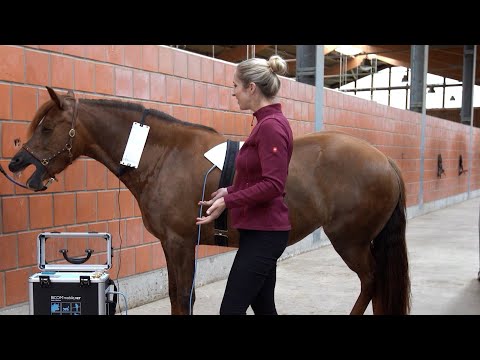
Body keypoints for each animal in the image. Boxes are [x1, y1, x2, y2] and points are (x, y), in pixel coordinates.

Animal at [7, 87, 408, 316]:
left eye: (47, 128)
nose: (16, 164)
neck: (161, 154)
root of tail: (385, 160)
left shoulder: (180, 242)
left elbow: (182, 296)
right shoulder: (173, 245)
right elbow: (178, 295)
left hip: (351, 242)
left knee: (371, 282)